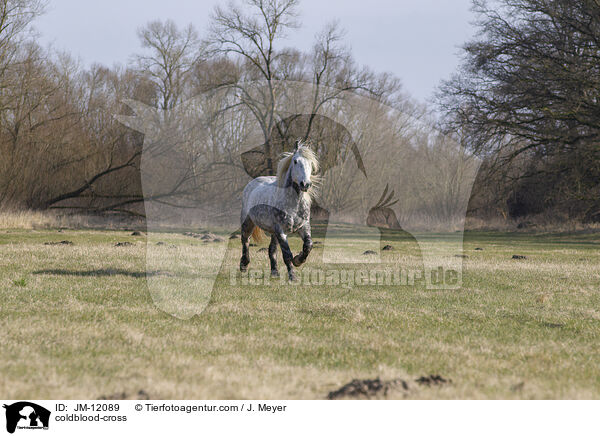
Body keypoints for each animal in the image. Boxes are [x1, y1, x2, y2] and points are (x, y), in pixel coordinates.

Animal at [240, 141, 318, 282]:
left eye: (311, 163)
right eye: (295, 161)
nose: (305, 184)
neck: (293, 204)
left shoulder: (304, 226)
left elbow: (308, 245)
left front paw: (298, 260)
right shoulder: (281, 231)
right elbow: (287, 254)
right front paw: (293, 276)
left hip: (273, 232)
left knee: (271, 249)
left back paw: (275, 273)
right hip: (248, 222)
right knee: (245, 240)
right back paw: (243, 265)